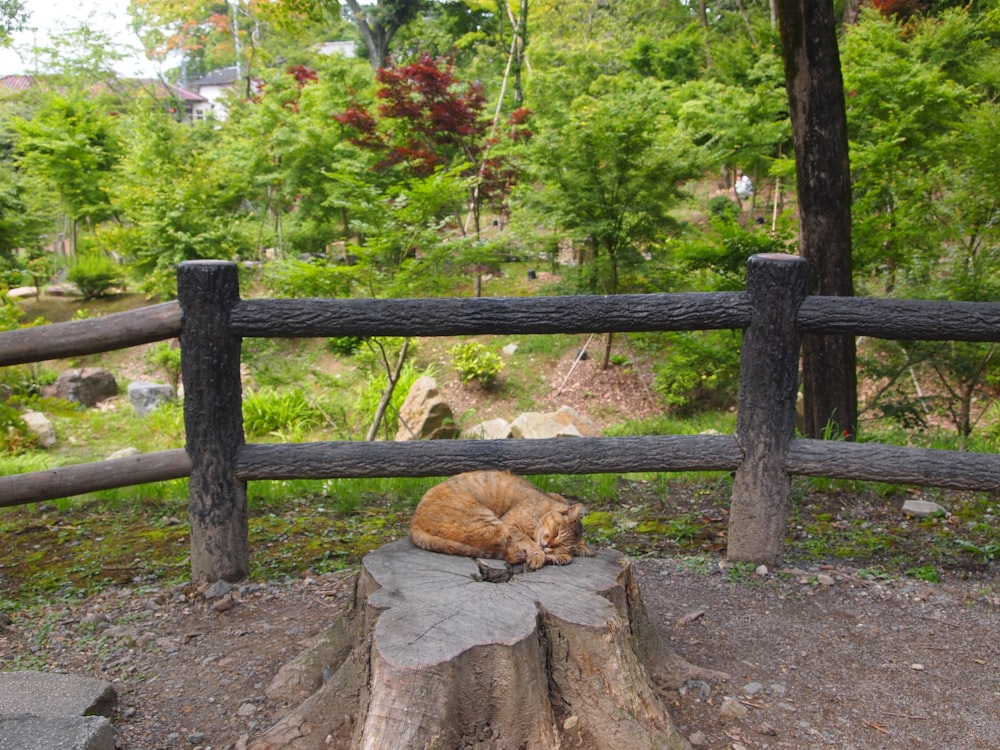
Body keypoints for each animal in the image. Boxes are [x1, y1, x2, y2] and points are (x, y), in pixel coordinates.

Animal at [408, 470, 592, 568]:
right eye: (557, 532)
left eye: (561, 546)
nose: (548, 545)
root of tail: (414, 524)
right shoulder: (511, 524)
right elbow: (529, 542)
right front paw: (540, 555)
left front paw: (558, 556)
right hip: (492, 524)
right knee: (509, 552)